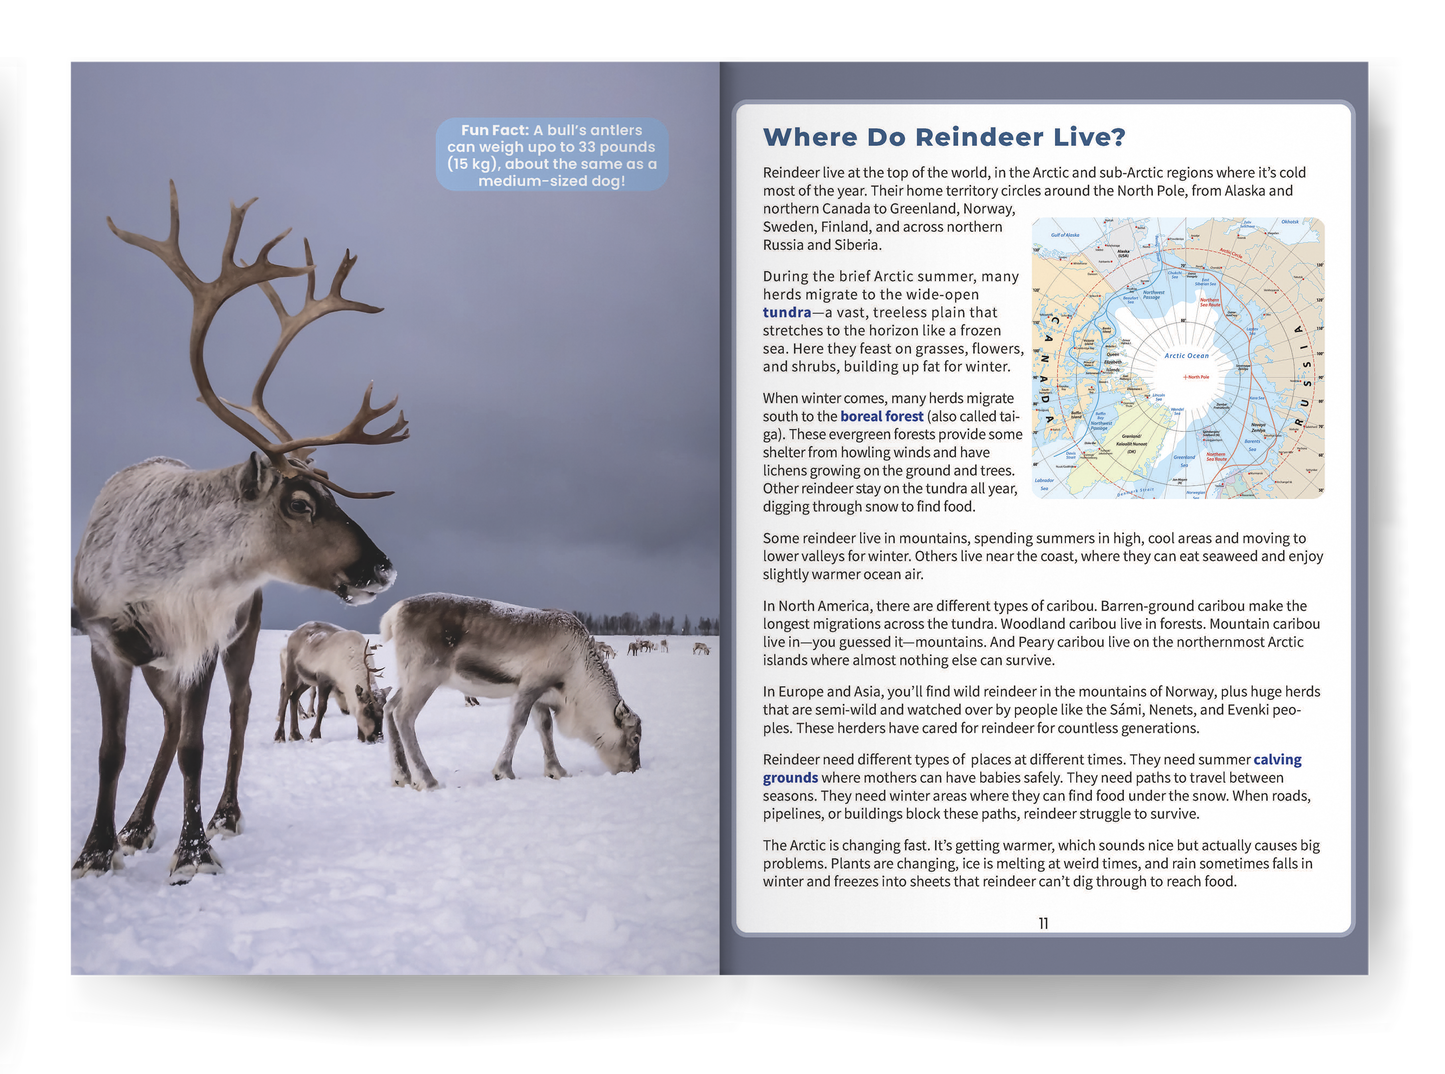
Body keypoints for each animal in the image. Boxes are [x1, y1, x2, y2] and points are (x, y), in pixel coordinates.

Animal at [71, 182, 408, 883]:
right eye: (302, 502)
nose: (384, 568)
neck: (162, 580)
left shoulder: (202, 644)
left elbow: (197, 745)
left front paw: (193, 850)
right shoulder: (105, 642)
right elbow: (111, 750)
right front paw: (96, 849)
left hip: (241, 638)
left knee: (233, 713)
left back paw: (218, 814)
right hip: (161, 661)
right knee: (171, 727)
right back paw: (136, 825)